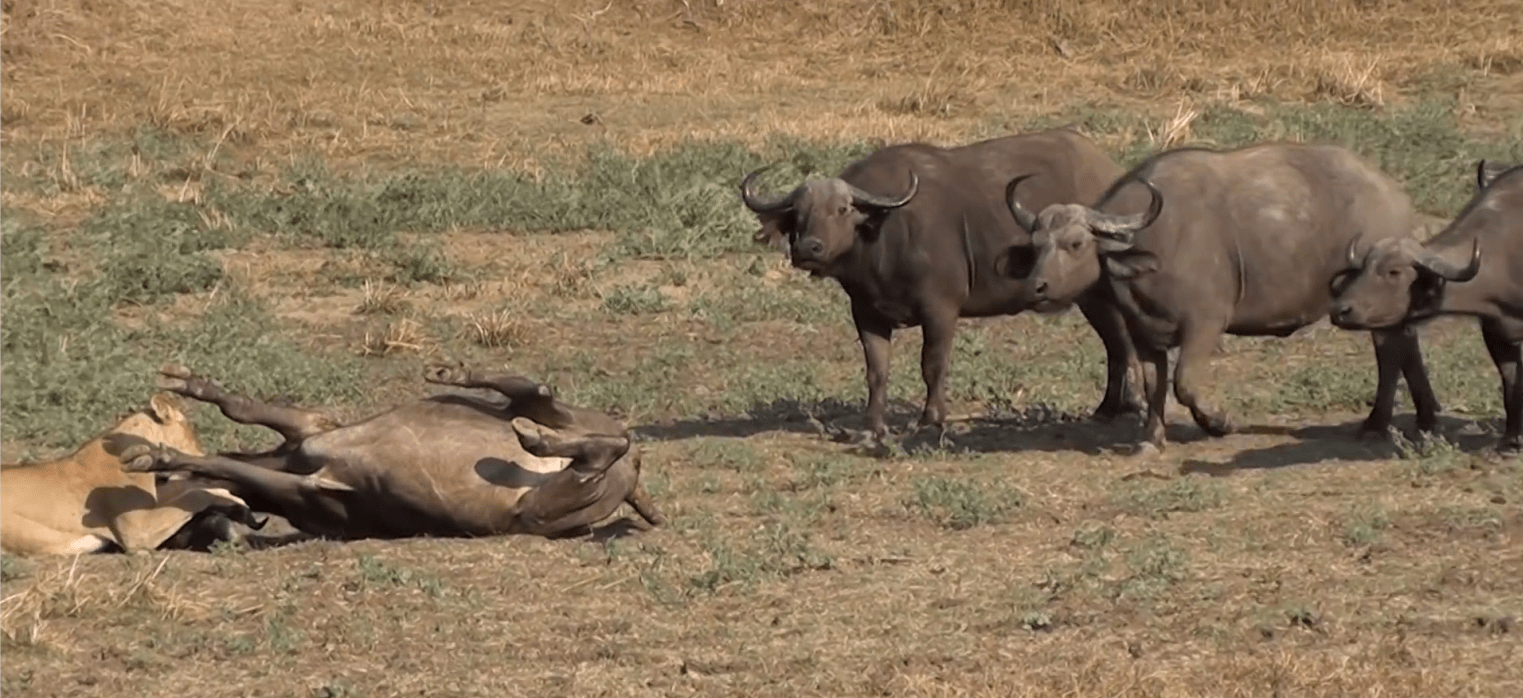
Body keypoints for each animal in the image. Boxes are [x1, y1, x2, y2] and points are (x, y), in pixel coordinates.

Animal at [121, 362, 664, 542]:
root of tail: (634, 477)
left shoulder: (307, 470)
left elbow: (223, 447)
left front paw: (156, 456)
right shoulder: (307, 432)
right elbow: (242, 411)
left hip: (541, 505)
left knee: (584, 439)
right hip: (566, 435)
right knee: (544, 401)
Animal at [737, 128, 1145, 438]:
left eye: (841, 209)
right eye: (799, 214)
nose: (808, 248)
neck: (883, 235)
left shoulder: (940, 309)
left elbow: (932, 364)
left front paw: (930, 419)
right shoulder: (867, 313)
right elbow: (876, 371)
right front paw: (873, 425)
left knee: (1123, 342)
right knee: (1115, 343)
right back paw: (1108, 409)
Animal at [1005, 141, 1443, 451]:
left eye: (1076, 243)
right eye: (1038, 244)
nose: (1037, 288)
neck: (1150, 245)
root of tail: (1394, 196)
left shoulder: (1205, 325)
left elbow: (1184, 383)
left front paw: (1219, 423)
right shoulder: (1145, 335)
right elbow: (1153, 385)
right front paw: (1151, 439)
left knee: (1390, 356)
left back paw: (1376, 424)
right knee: (1407, 348)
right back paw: (1426, 417)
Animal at [1334, 160, 1523, 454]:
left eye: (1394, 272)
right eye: (1364, 266)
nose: (1340, 310)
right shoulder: (1495, 331)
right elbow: (1511, 382)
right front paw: (1511, 439)